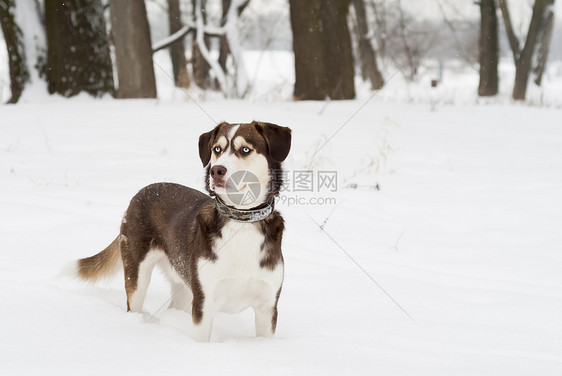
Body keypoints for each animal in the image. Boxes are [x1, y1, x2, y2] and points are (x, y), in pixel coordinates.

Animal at [68, 120, 290, 340]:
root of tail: (141, 192)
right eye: (216, 149)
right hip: (138, 274)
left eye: (245, 149)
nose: (216, 171)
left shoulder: (267, 306)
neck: (241, 222)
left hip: (183, 282)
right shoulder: (204, 303)